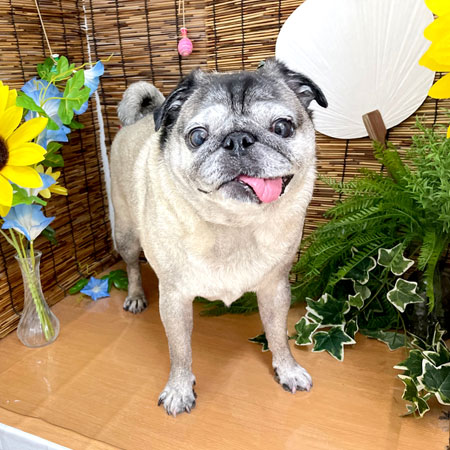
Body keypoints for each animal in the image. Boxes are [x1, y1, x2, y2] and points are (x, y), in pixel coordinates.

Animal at [110, 58, 327, 416]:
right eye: (198, 136)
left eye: (282, 128)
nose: (238, 139)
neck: (233, 224)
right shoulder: (174, 298)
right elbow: (179, 351)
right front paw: (179, 389)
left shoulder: (275, 288)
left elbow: (277, 335)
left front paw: (287, 369)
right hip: (126, 234)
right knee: (131, 266)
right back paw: (136, 295)